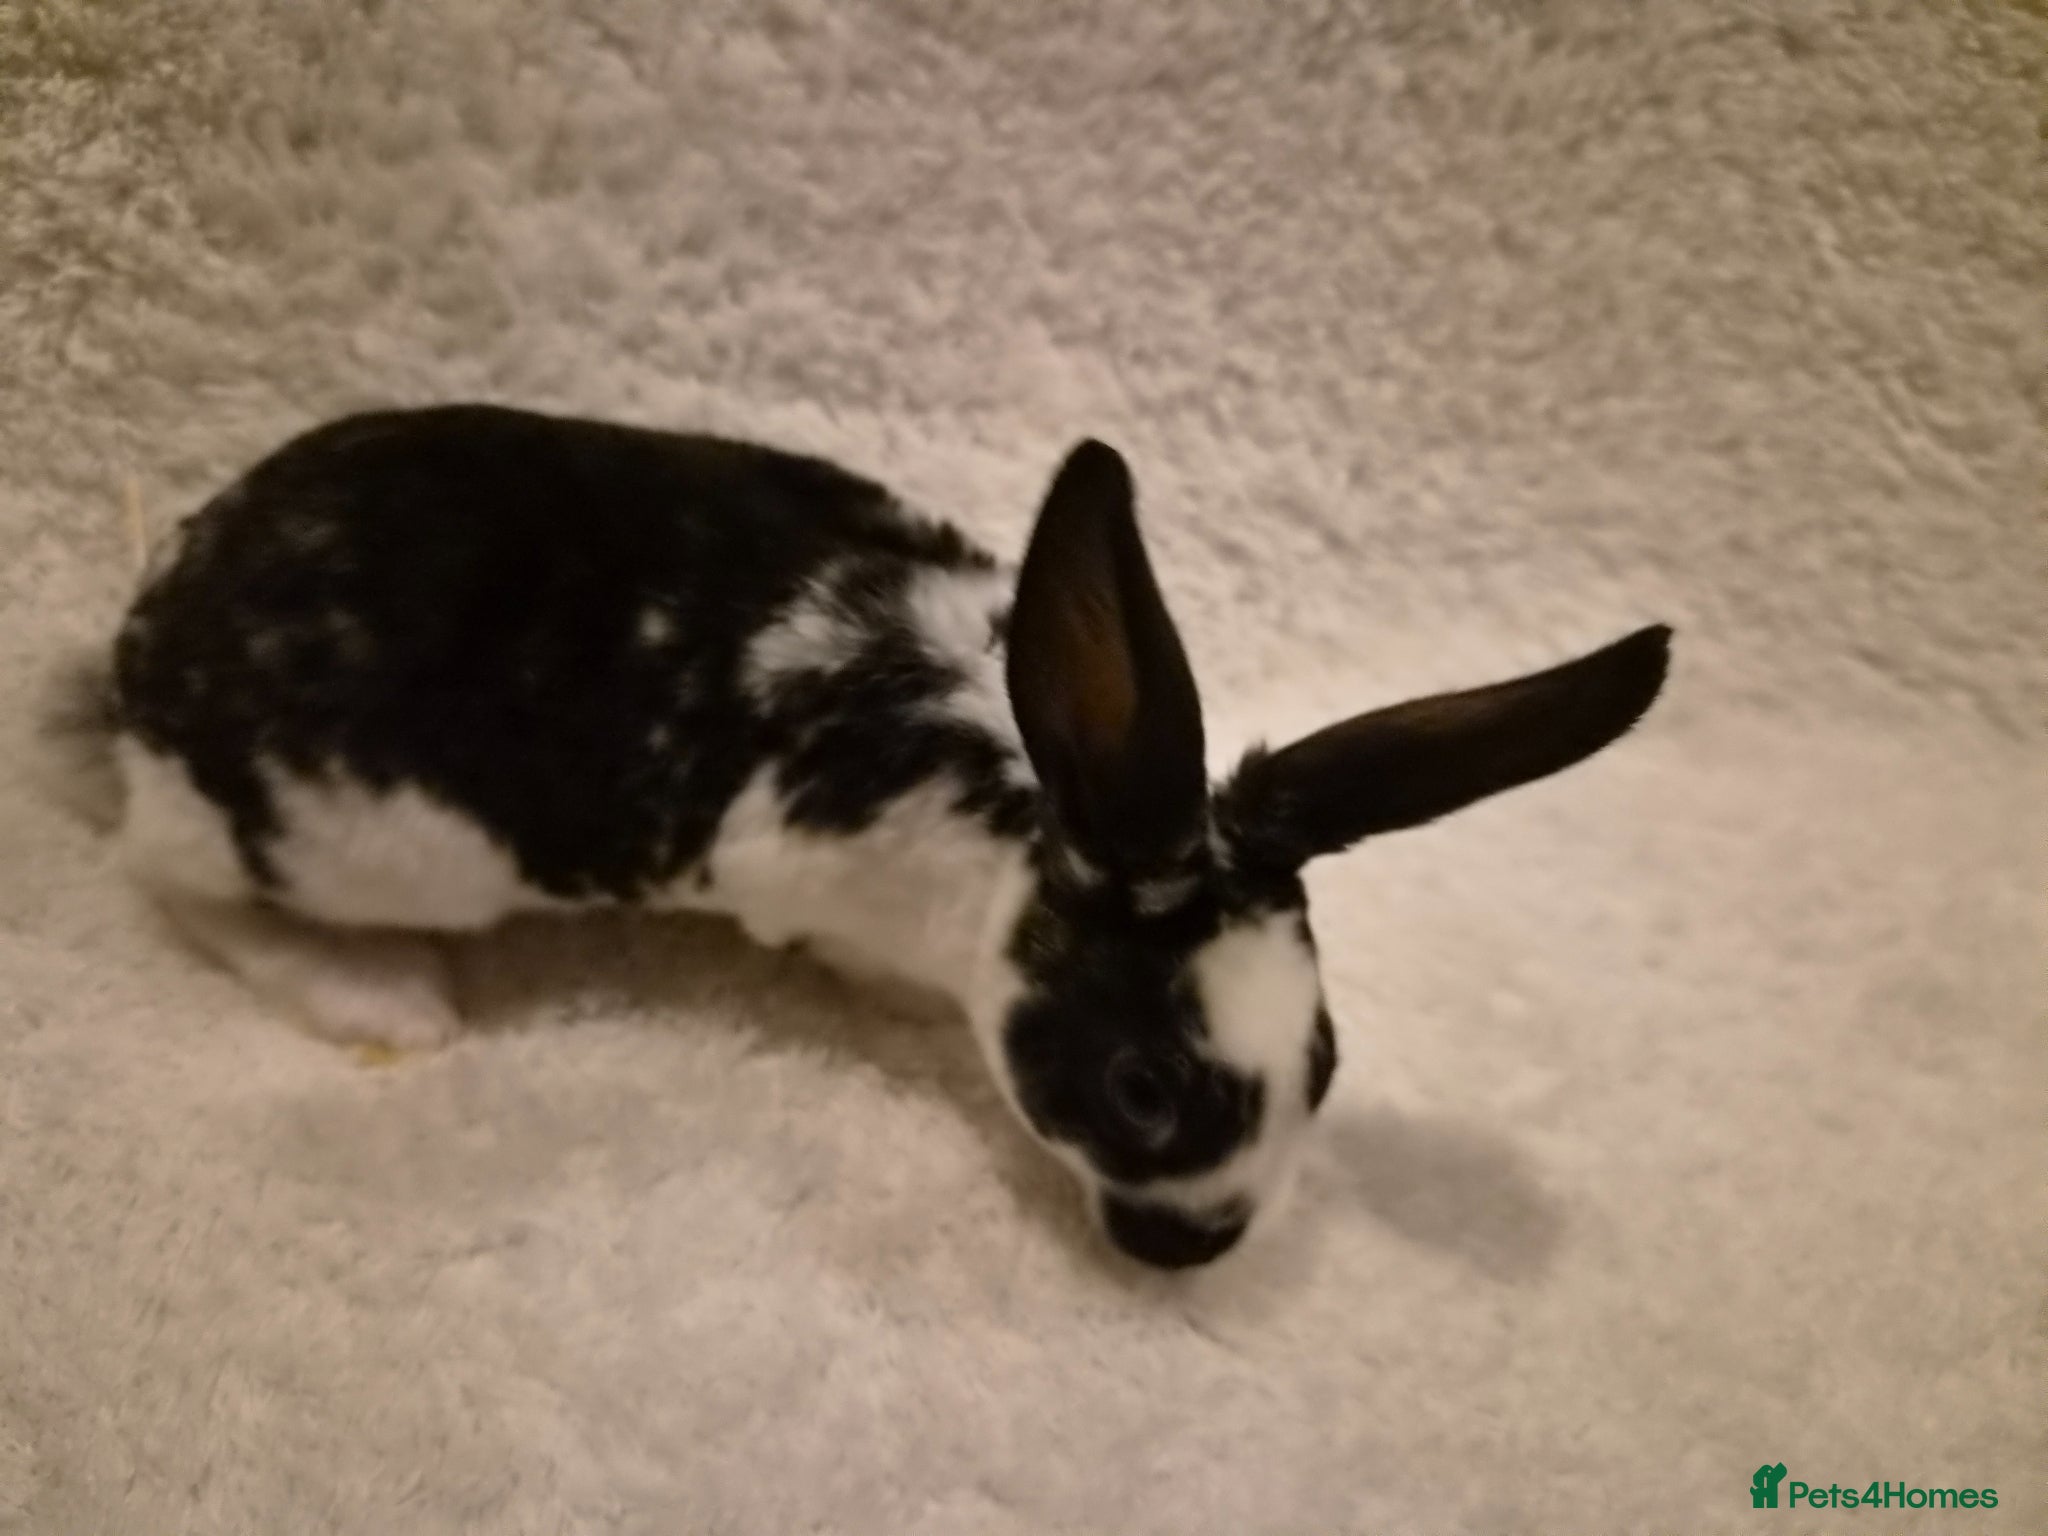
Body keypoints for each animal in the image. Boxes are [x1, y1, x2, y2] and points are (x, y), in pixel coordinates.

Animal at [84, 404, 1671, 1268]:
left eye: (1328, 1058)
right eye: (1142, 1091)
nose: (1200, 1247)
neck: (1019, 821)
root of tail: (145, 656)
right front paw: (906, 1018)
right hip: (355, 846)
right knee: (161, 883)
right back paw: (385, 1003)